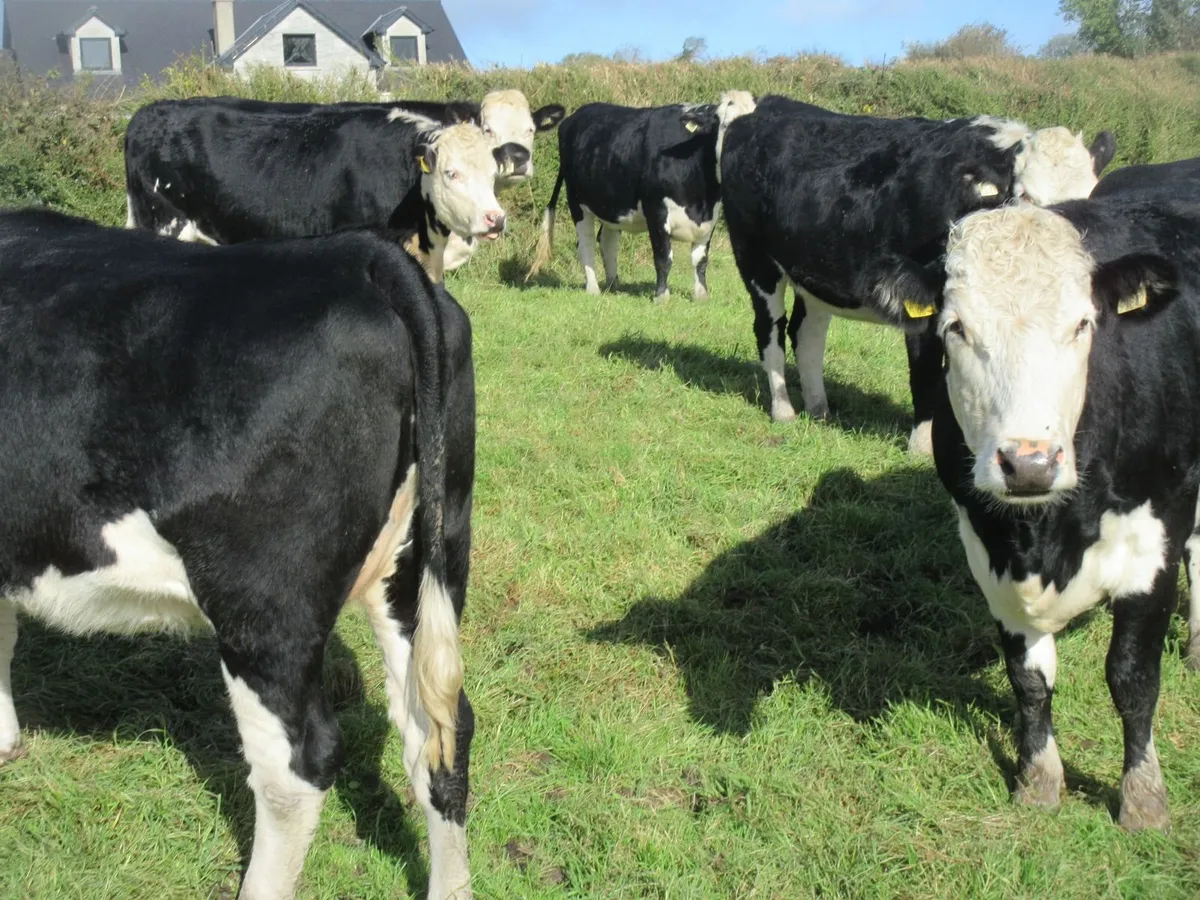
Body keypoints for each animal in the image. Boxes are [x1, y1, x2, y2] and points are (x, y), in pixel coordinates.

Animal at [527, 102, 722, 303]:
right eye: (721, 126)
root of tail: (574, 116)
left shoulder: (711, 217)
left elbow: (701, 260)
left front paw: (701, 295)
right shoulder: (656, 212)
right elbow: (663, 257)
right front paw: (661, 296)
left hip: (611, 205)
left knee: (607, 241)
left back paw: (613, 285)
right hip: (576, 201)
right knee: (586, 243)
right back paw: (593, 288)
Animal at [691, 91, 1116, 452]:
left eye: (1092, 196)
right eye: (1025, 195)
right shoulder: (926, 299)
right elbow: (926, 375)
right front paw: (922, 448)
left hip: (815, 271)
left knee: (806, 335)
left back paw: (819, 409)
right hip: (757, 261)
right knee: (771, 332)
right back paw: (784, 410)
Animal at [879, 194, 1200, 831]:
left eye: (1082, 324)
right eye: (956, 327)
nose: (1028, 463)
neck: (1044, 536)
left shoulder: (1154, 546)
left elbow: (1132, 678)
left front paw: (1143, 798)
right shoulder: (989, 554)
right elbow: (1029, 679)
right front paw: (1039, 778)